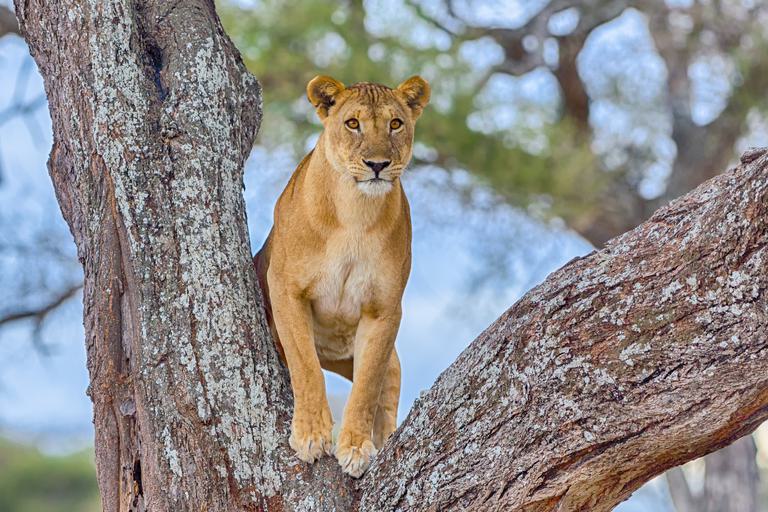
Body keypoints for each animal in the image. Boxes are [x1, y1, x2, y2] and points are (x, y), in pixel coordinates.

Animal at [254, 74, 430, 477]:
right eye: (353, 124)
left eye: (395, 124)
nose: (377, 164)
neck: (356, 212)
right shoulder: (285, 289)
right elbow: (306, 367)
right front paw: (311, 436)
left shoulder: (384, 309)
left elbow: (367, 387)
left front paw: (355, 447)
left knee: (388, 386)